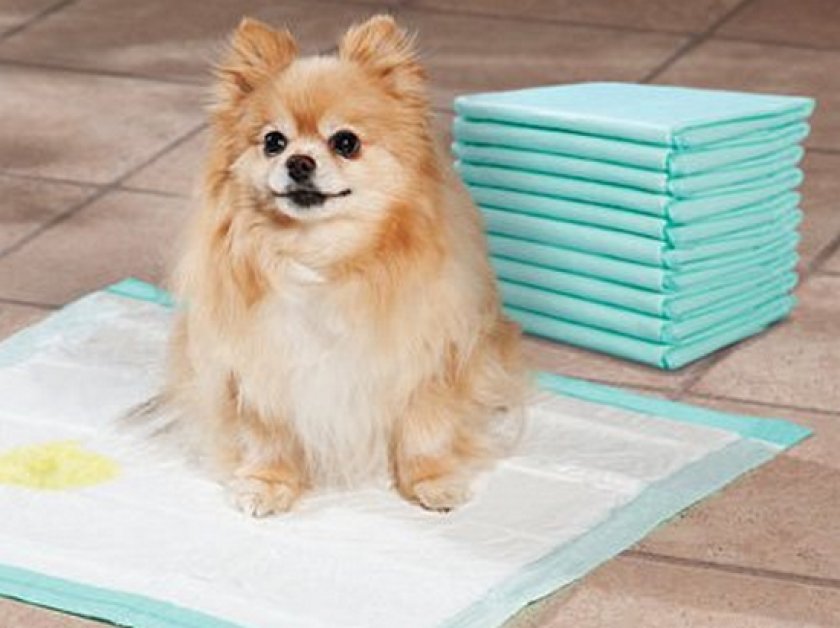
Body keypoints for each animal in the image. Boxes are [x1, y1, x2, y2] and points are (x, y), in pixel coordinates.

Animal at [165, 14, 528, 516]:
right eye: (273, 142)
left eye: (346, 142)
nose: (299, 162)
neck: (321, 258)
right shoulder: (260, 360)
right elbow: (267, 432)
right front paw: (268, 483)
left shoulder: (431, 355)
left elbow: (426, 425)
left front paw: (431, 480)